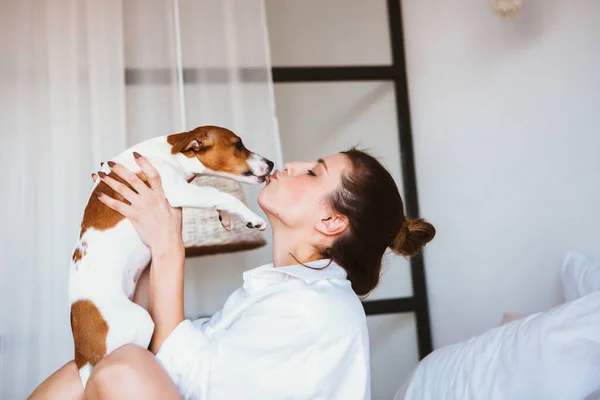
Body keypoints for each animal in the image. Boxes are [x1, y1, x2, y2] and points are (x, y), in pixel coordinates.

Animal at [69, 125, 274, 388]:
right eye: (238, 145)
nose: (271, 163)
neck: (168, 153)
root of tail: (81, 356)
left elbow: (216, 196)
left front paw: (227, 218)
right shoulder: (180, 190)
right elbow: (221, 194)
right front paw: (252, 218)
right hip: (140, 321)